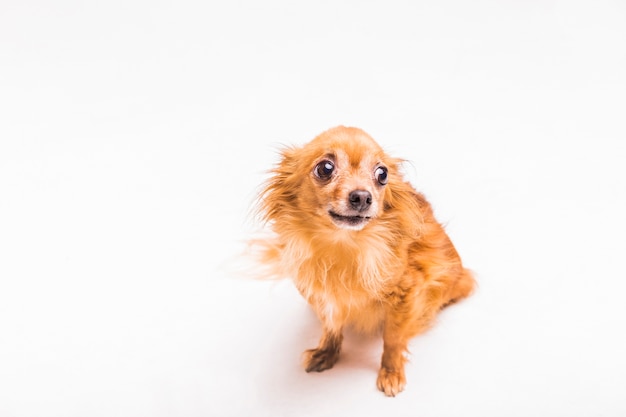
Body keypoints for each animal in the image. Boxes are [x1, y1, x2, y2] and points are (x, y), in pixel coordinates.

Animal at [252, 126, 472, 396]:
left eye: (382, 174)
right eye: (325, 168)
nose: (362, 197)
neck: (343, 245)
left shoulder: (405, 293)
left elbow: (393, 338)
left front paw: (391, 372)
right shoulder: (322, 295)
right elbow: (331, 326)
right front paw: (327, 352)